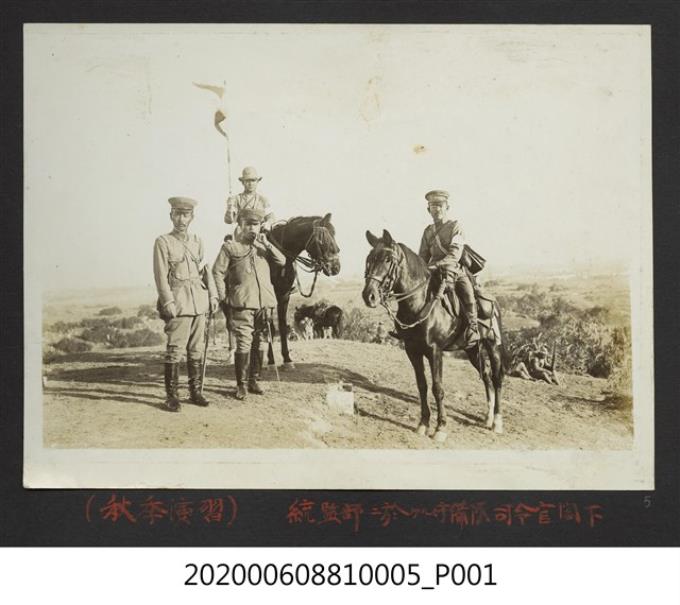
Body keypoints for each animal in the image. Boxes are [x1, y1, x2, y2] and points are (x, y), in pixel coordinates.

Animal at [265, 214, 341, 366]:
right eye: (324, 239)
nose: (336, 267)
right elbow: (270, 326)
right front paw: (270, 360)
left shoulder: (284, 295)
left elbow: (282, 325)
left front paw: (287, 359)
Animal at [362, 229, 505, 441]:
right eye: (369, 259)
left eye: (388, 259)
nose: (369, 295)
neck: (420, 302)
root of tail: (493, 301)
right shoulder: (412, 351)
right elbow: (422, 385)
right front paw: (423, 424)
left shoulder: (435, 351)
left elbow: (438, 387)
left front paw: (440, 428)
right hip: (471, 349)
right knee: (486, 375)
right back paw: (487, 418)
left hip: (493, 345)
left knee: (496, 377)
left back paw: (497, 421)